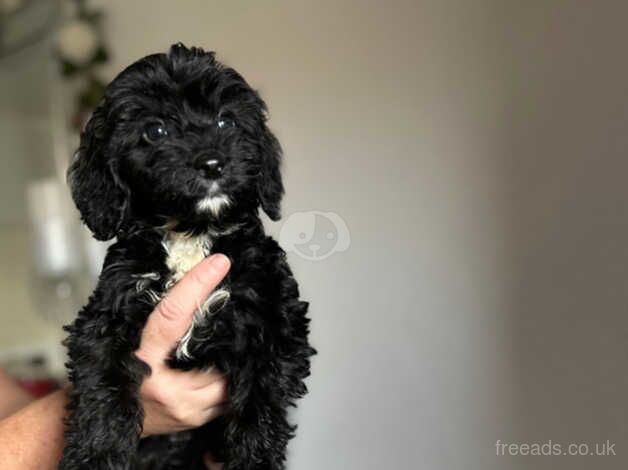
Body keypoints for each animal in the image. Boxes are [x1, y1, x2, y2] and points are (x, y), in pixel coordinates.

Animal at [60, 42, 314, 468]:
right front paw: (95, 456)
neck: (190, 234)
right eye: (155, 130)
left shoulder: (274, 322)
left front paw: (255, 459)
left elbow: (260, 406)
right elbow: (102, 387)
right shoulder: (105, 317)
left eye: (226, 122)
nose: (212, 163)